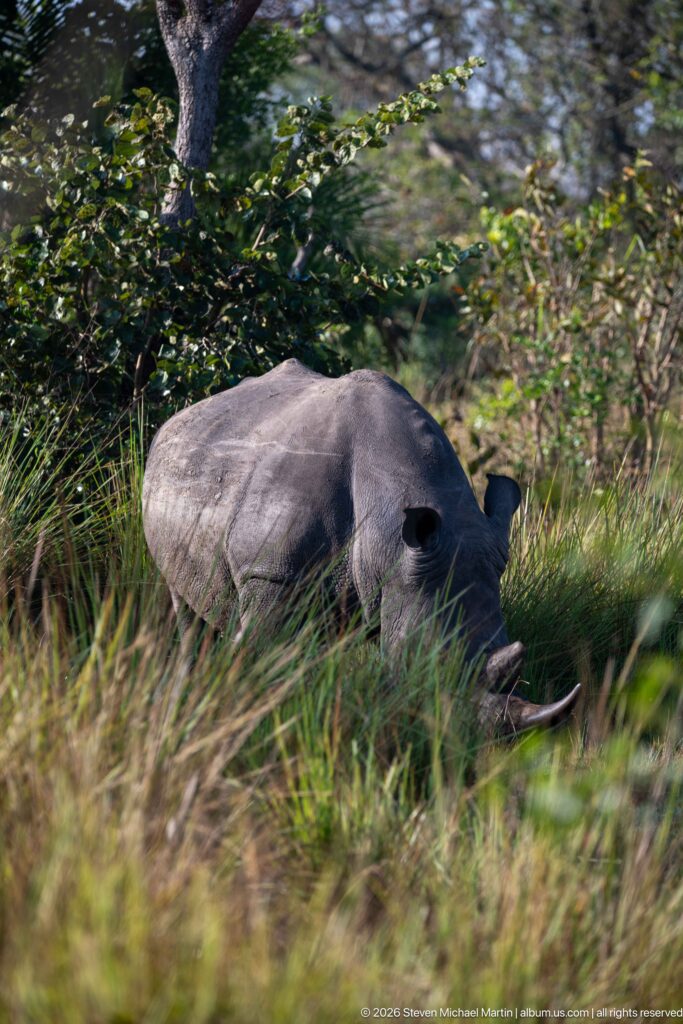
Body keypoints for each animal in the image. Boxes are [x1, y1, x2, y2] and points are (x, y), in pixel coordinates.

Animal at [143, 358, 579, 733]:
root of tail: (177, 419)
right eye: (436, 668)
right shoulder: (270, 573)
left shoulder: (394, 582)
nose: (483, 745)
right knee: (184, 605)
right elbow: (261, 658)